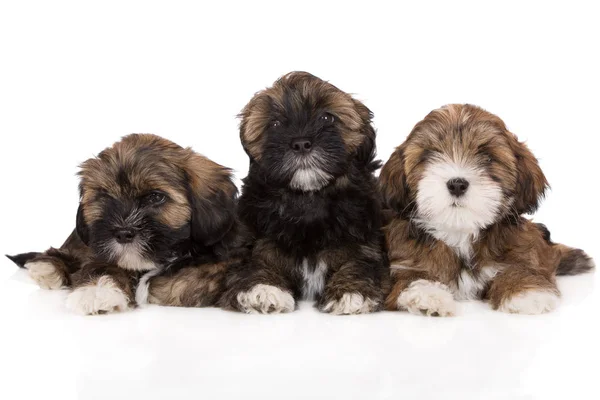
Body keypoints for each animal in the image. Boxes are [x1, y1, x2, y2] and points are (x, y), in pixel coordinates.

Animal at [7, 134, 238, 316]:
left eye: (156, 197)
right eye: (105, 196)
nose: (123, 233)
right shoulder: (99, 248)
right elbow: (101, 265)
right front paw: (97, 291)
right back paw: (46, 269)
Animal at [220, 72, 390, 316]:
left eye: (326, 118)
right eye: (275, 124)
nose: (301, 143)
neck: (308, 198)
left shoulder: (365, 243)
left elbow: (360, 263)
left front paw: (350, 291)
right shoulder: (258, 240)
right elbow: (257, 262)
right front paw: (263, 288)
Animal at [380, 104, 596, 318]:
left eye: (488, 157)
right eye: (428, 155)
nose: (457, 184)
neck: (460, 233)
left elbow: (521, 266)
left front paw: (526, 292)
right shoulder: (405, 261)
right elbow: (411, 276)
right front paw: (428, 295)